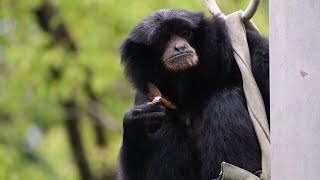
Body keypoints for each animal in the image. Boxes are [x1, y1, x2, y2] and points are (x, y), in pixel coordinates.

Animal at [119, 9, 268, 180]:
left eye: (185, 33)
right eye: (163, 39)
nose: (179, 47)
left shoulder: (252, 48)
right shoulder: (144, 94)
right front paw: (135, 121)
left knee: (225, 100)